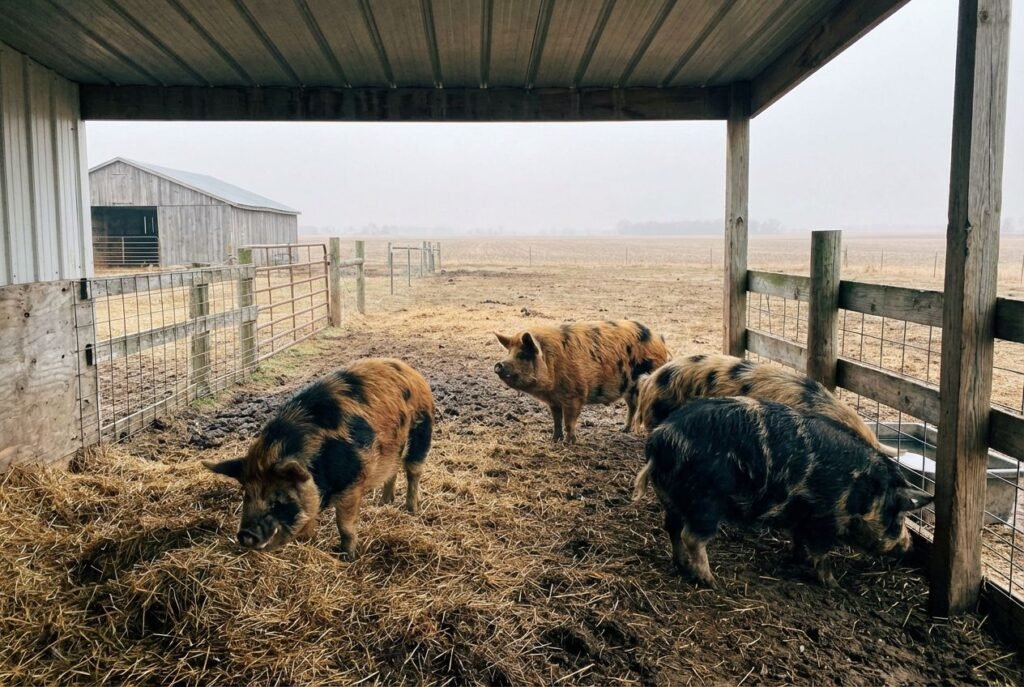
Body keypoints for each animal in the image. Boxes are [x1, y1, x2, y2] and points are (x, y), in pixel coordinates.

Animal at [203, 358, 434, 558]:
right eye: (246, 494)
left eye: (278, 498)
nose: (245, 534)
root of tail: (410, 371)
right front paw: (308, 544)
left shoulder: (352, 483)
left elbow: (345, 526)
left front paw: (347, 557)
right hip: (394, 446)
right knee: (393, 470)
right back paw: (384, 502)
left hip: (422, 430)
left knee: (413, 470)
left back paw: (411, 510)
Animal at [493, 320, 670, 443]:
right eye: (509, 352)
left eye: (523, 354)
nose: (499, 364)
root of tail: (660, 340)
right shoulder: (554, 401)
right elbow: (556, 420)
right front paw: (554, 440)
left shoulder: (575, 396)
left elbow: (569, 422)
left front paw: (569, 443)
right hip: (628, 388)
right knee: (632, 406)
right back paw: (623, 430)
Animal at [632, 397, 933, 587]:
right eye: (898, 519)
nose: (909, 546)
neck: (861, 492)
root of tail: (661, 440)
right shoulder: (825, 519)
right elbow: (821, 553)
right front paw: (834, 585)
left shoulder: (802, 516)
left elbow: (799, 540)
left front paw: (797, 558)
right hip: (704, 501)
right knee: (692, 536)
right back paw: (711, 582)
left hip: (672, 498)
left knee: (672, 529)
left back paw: (681, 565)